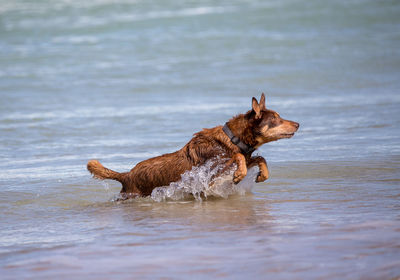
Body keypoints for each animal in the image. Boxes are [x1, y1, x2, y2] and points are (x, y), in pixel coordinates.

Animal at [88, 93, 300, 197]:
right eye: (276, 119)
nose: (298, 124)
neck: (232, 139)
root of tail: (126, 175)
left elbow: (258, 157)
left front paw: (263, 174)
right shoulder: (213, 167)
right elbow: (238, 156)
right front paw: (240, 174)